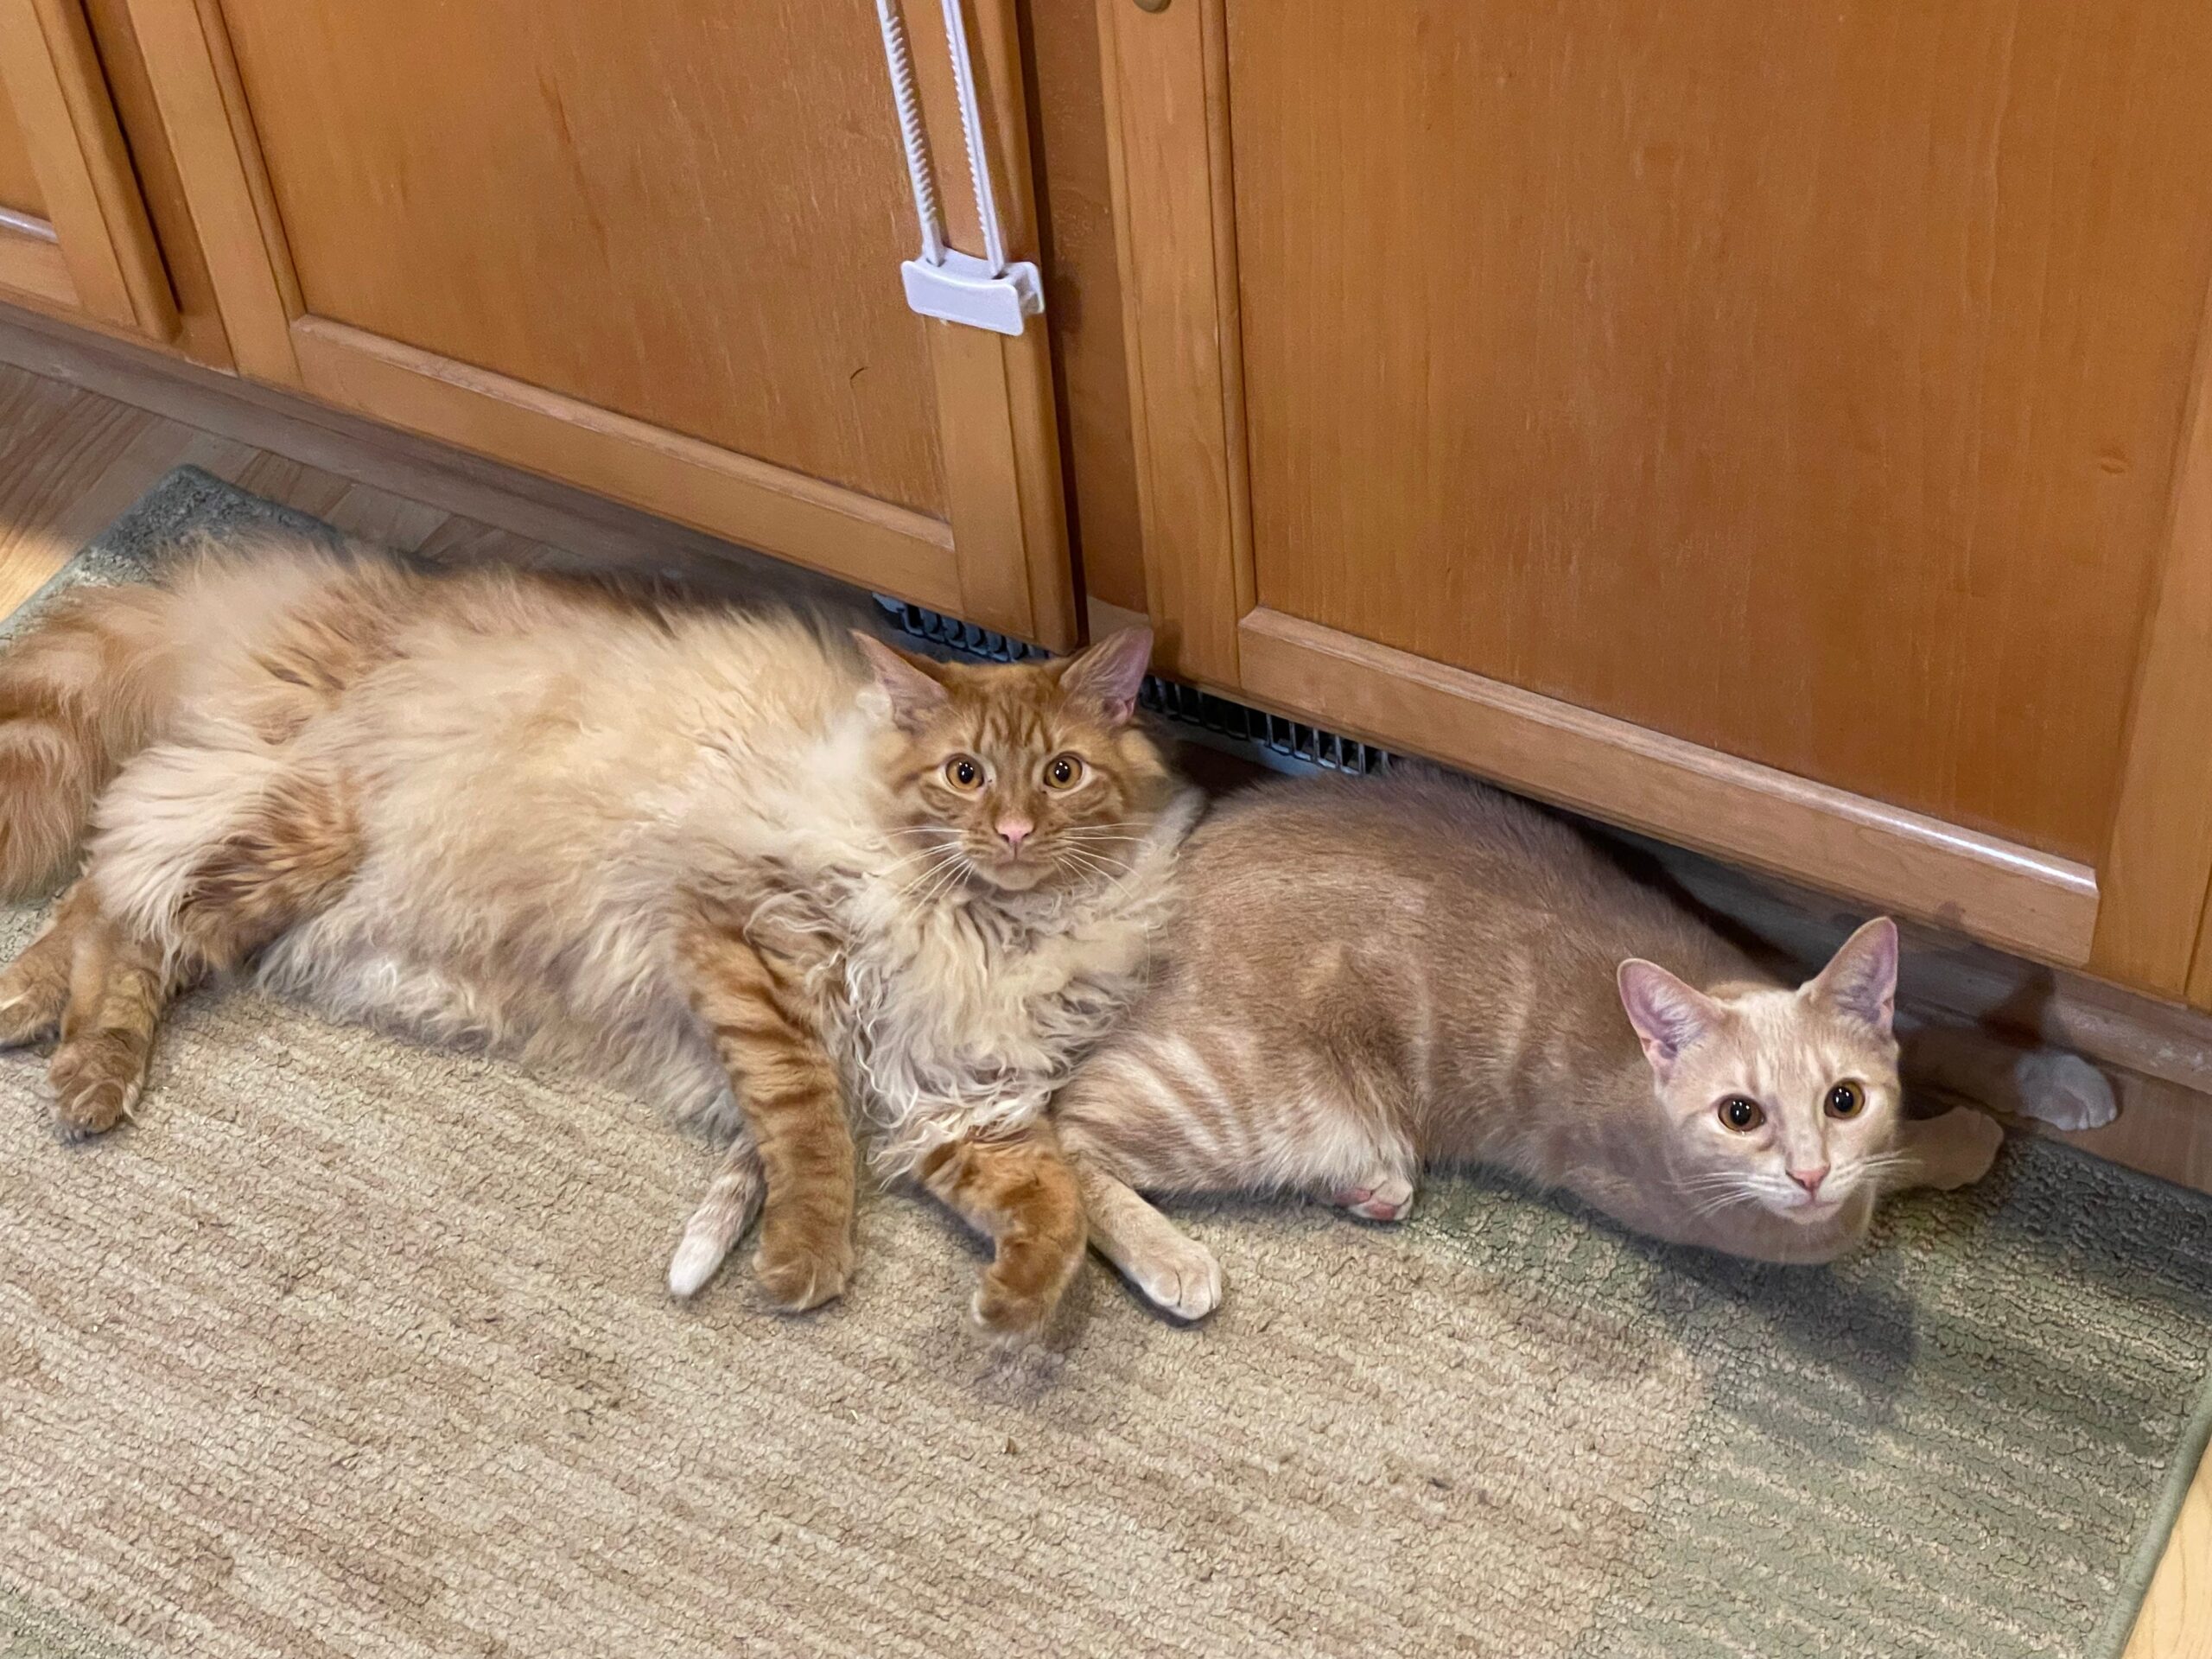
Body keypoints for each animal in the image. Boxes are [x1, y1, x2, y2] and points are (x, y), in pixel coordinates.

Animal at [0, 539, 1194, 1344]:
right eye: (964, 774)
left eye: (1060, 774)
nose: (1013, 833)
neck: (992, 929)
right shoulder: (744, 943)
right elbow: (807, 1130)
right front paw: (807, 1256)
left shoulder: (943, 1094)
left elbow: (1054, 1201)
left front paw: (1021, 1301)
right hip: (304, 834)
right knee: (128, 918)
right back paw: (87, 1073)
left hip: (268, 841)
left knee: (109, 889)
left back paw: (28, 1008)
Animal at [1035, 774, 2106, 1336]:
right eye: (1740, 1114)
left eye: (1843, 1098)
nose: (1807, 1172)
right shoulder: (1757, 1221)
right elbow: (1887, 1177)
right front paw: (1957, 1140)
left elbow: (1952, 1035)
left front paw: (2061, 1077)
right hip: (1249, 1099)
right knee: (1063, 1126)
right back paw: (1174, 1256)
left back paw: (1368, 1186)